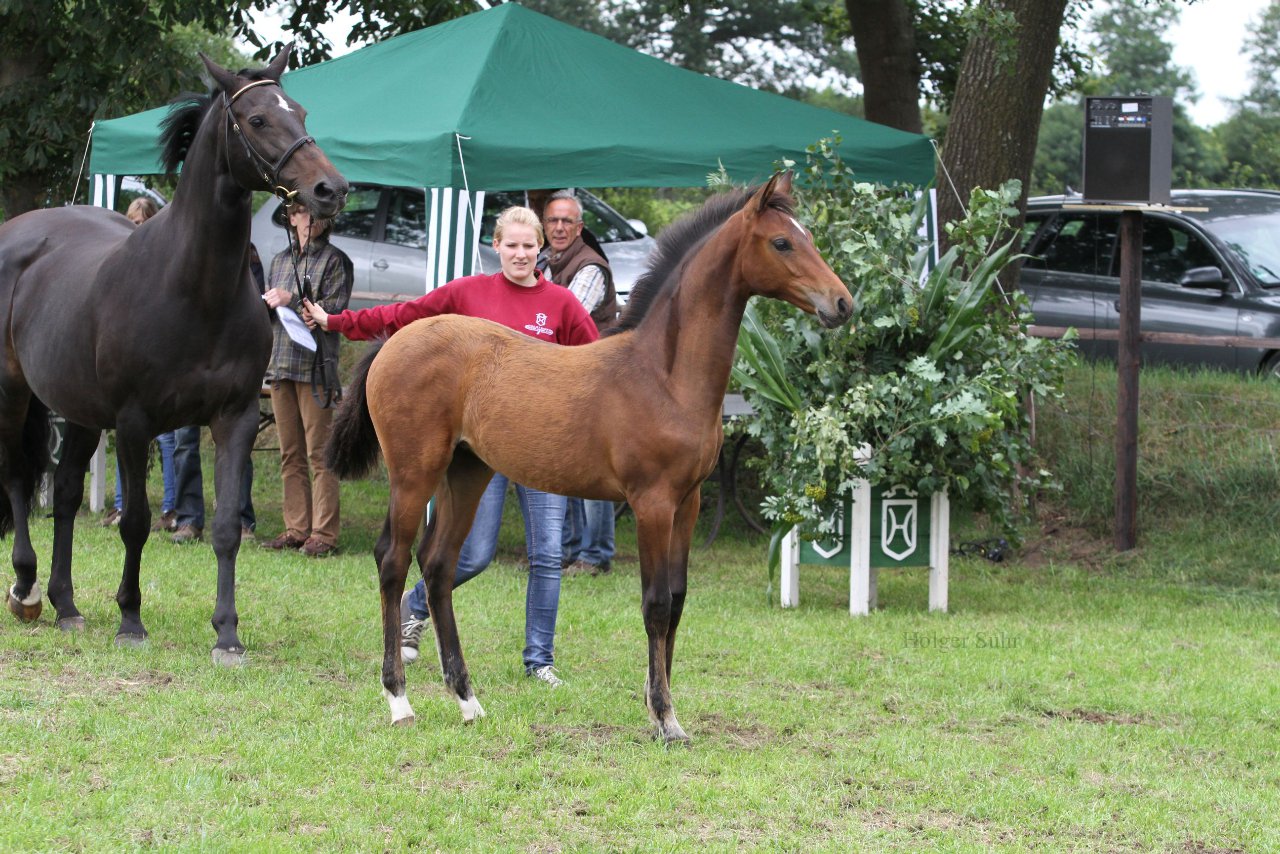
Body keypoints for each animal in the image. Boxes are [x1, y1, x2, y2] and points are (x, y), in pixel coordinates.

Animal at [0, 48, 348, 665]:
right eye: (257, 119)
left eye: (301, 111)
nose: (331, 188)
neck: (193, 289)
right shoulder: (135, 423)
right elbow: (136, 522)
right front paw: (131, 619)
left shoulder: (235, 418)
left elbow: (227, 528)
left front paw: (227, 634)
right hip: (13, 391)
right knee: (19, 478)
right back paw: (26, 589)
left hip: (83, 414)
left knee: (63, 495)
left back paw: (67, 606)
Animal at [327, 174, 849, 742]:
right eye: (782, 242)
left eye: (808, 236)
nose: (842, 304)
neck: (664, 376)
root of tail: (395, 338)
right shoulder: (652, 504)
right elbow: (656, 604)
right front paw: (666, 718)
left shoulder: (687, 503)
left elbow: (679, 599)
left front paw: (659, 707)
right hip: (413, 473)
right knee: (393, 560)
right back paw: (399, 700)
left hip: (466, 472)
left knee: (439, 566)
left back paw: (468, 701)